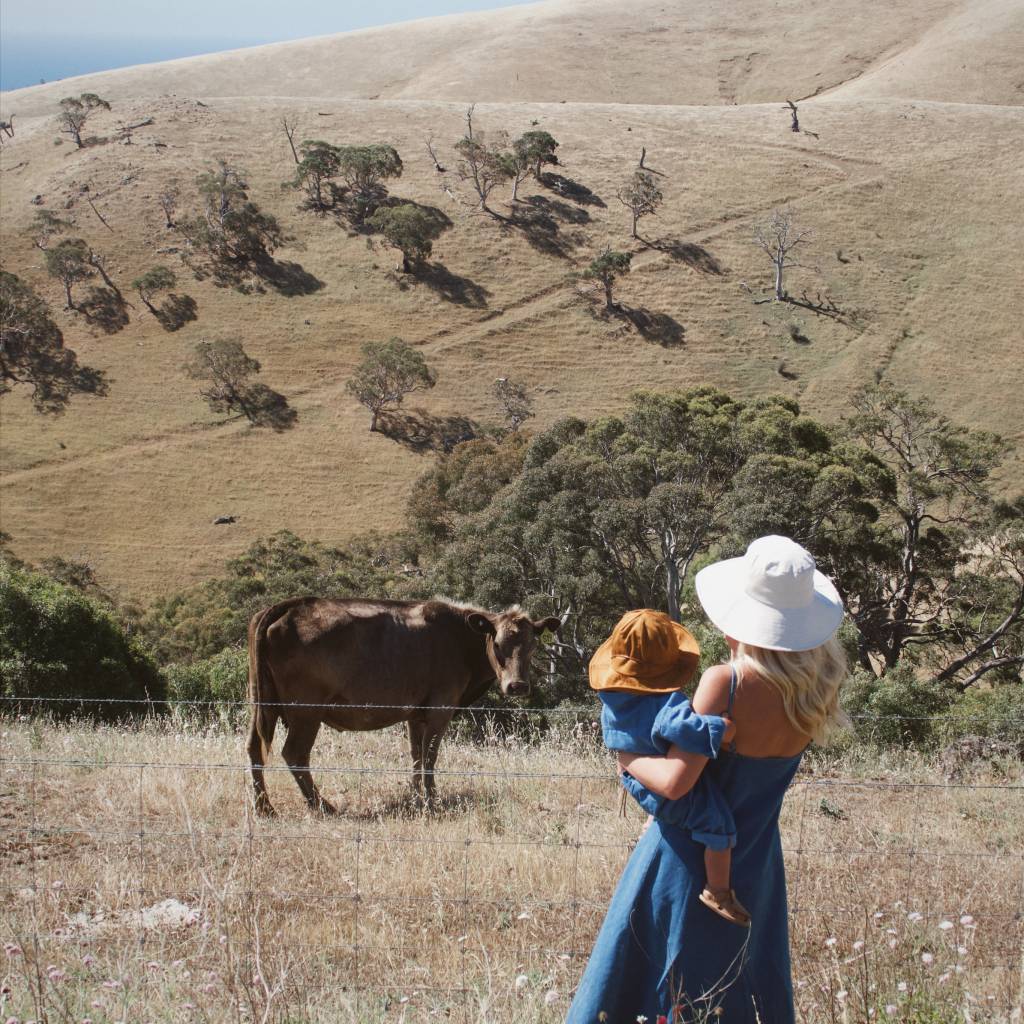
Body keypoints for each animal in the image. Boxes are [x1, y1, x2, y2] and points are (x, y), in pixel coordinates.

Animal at [245, 598, 561, 811]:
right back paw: (322, 806)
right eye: (497, 643)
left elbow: (416, 756)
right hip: (306, 711)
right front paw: (432, 801)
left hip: (261, 701)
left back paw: (264, 807)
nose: (517, 685)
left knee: (254, 748)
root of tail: (291, 605)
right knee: (295, 754)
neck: (459, 640)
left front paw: (416, 797)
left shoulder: (415, 714)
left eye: (533, 645)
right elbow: (430, 756)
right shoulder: (440, 708)